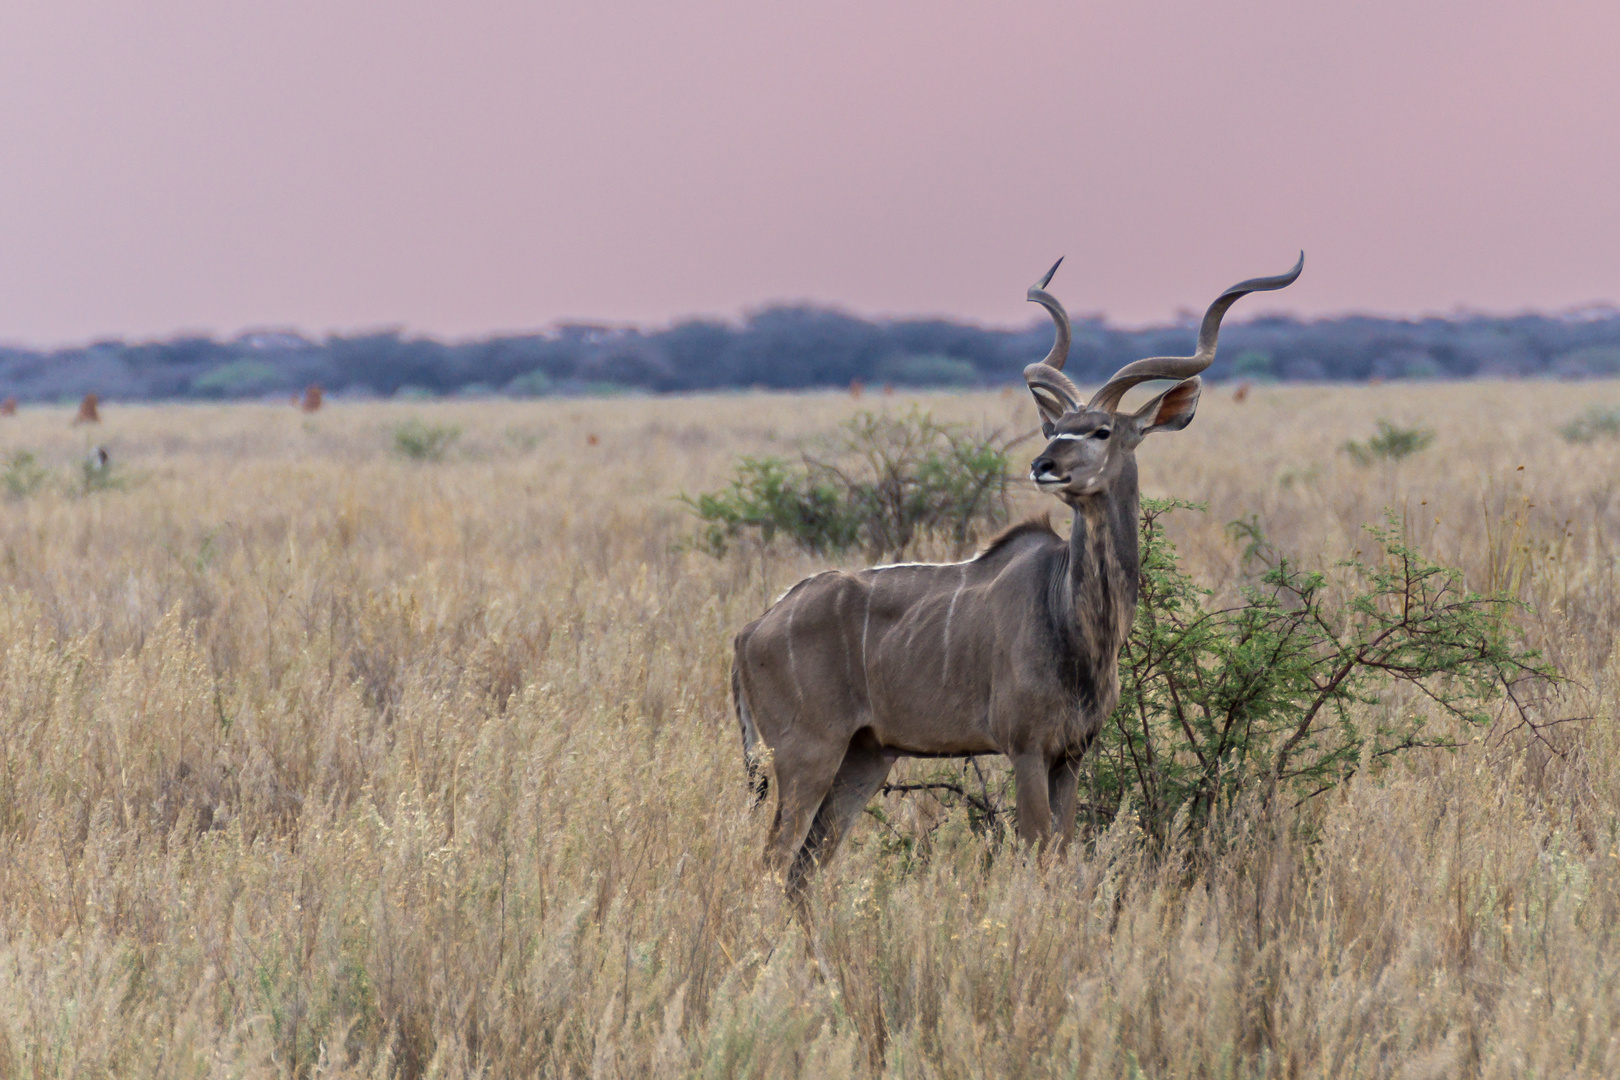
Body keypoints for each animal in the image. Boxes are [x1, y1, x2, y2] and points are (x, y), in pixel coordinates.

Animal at [735, 255, 1302, 893]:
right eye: (1054, 429)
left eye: (1102, 430)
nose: (1043, 465)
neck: (1074, 620)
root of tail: (753, 629)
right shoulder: (1026, 749)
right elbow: (1041, 852)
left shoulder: (1071, 755)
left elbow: (1065, 848)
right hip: (807, 753)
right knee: (773, 861)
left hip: (866, 755)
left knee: (804, 867)